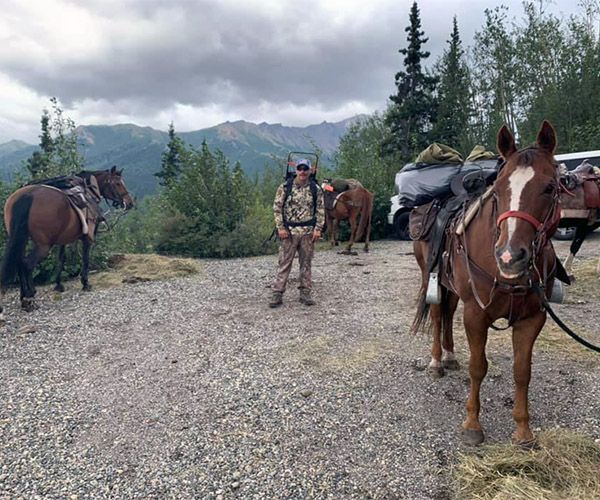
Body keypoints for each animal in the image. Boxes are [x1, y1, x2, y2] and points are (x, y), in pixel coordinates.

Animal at [0, 167, 134, 312]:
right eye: (118, 183)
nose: (130, 203)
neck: (89, 190)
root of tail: (28, 195)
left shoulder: (62, 239)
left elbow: (61, 259)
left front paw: (58, 284)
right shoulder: (88, 237)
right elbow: (85, 259)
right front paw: (85, 283)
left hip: (21, 239)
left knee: (19, 261)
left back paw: (23, 296)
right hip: (43, 246)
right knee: (27, 264)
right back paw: (29, 297)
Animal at [412, 122, 564, 446]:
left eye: (550, 187)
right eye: (499, 189)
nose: (510, 256)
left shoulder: (532, 318)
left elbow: (522, 371)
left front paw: (522, 430)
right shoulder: (476, 313)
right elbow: (478, 367)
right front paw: (472, 425)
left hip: (452, 286)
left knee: (447, 313)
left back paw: (450, 357)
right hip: (431, 277)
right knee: (437, 314)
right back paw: (436, 363)